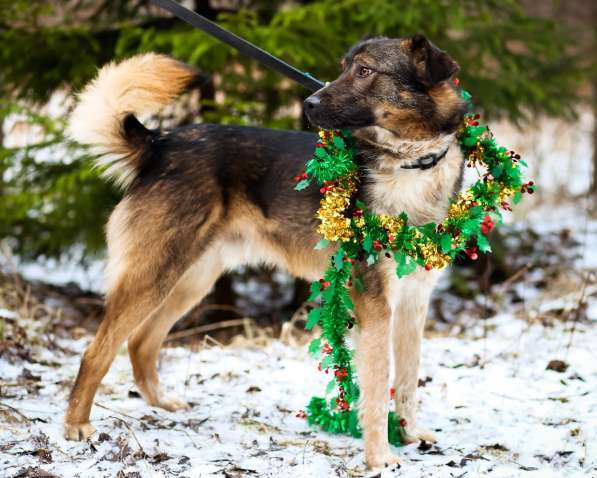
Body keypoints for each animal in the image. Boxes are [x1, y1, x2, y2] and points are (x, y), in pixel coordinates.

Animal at [65, 35, 466, 468]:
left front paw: (409, 435)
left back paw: (161, 403)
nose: (309, 103)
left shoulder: (413, 302)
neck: (411, 163)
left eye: (364, 71)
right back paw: (76, 426)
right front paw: (380, 458)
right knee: (96, 351)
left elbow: (407, 380)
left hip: (190, 280)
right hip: (155, 274)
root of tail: (161, 144)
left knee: (140, 342)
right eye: (344, 68)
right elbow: (377, 389)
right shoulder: (375, 304)